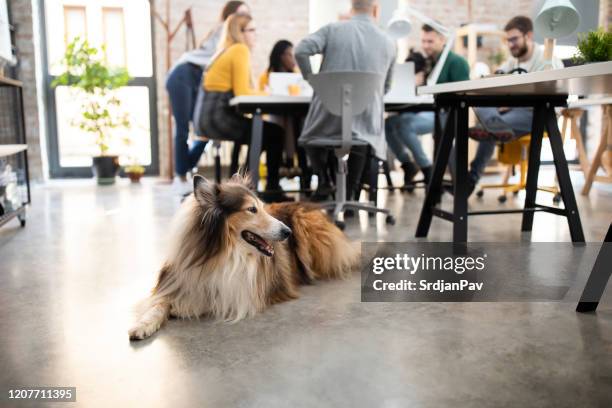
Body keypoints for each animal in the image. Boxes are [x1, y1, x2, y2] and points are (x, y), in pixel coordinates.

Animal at [129, 174, 358, 340]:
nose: (288, 232)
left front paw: (183, 306)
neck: (222, 254)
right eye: (251, 209)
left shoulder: (239, 291)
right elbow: (158, 304)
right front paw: (143, 325)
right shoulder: (176, 279)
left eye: (262, 207)